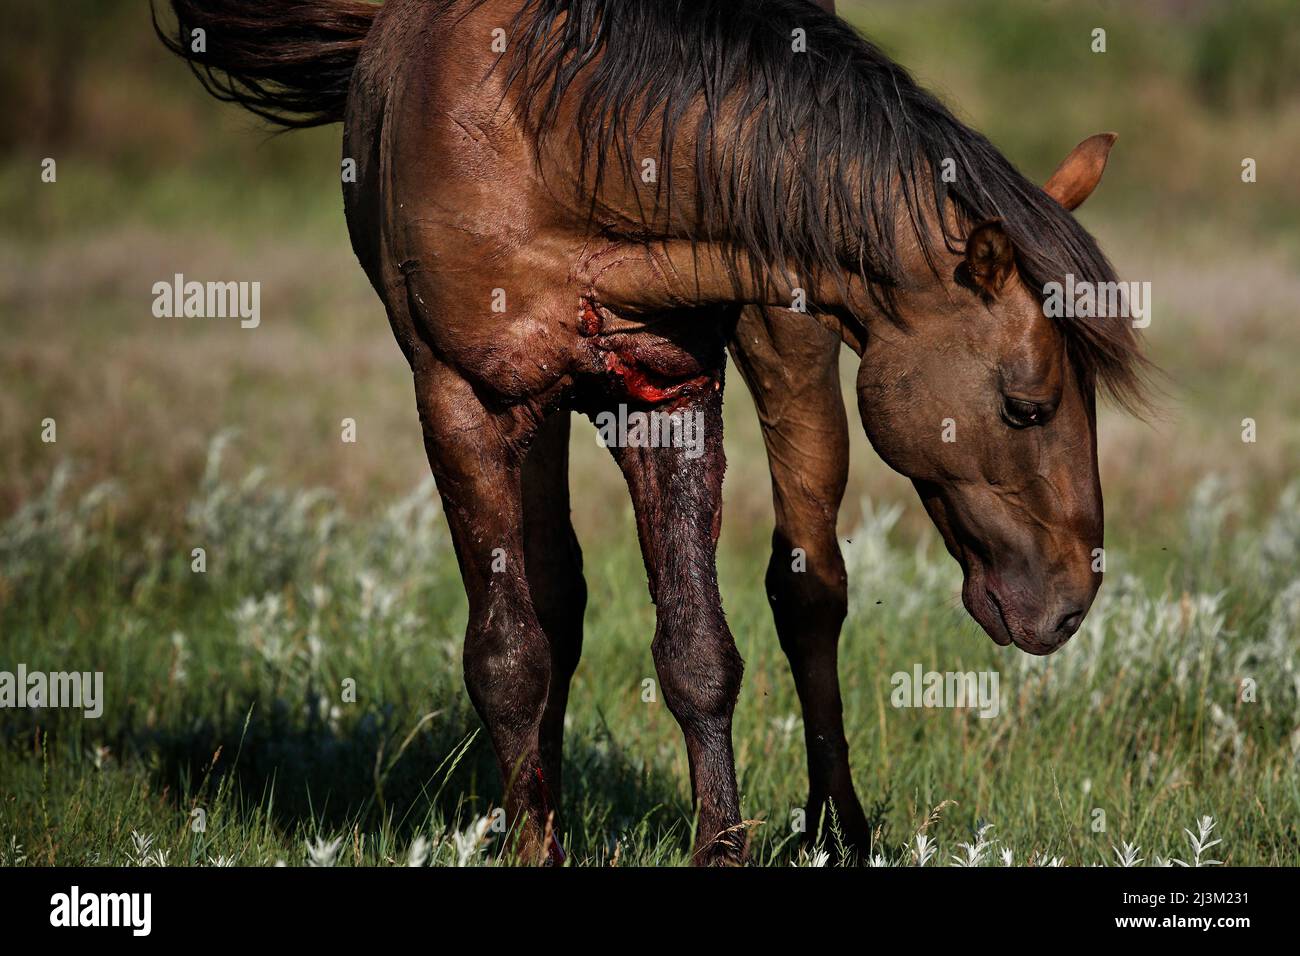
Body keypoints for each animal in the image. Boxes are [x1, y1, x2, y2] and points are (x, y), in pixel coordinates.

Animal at [154, 0, 1149, 868]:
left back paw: (836, 833)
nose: (1069, 603)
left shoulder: (669, 392)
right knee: (556, 601)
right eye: (1026, 405)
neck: (558, 141)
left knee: (809, 587)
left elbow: (698, 650)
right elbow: (509, 654)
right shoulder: (462, 397)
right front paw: (535, 848)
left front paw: (723, 848)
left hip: (786, 338)